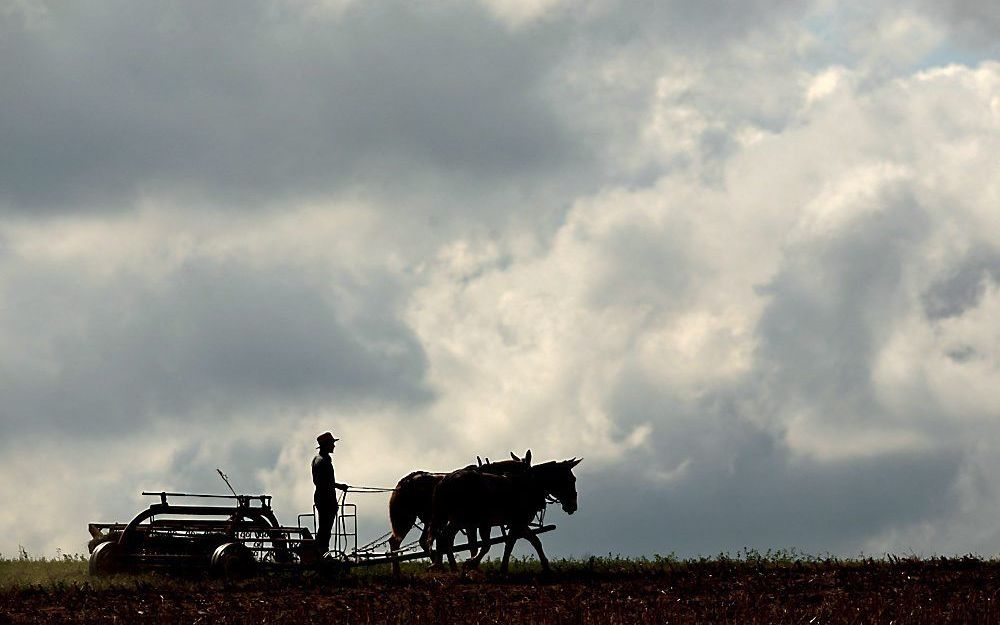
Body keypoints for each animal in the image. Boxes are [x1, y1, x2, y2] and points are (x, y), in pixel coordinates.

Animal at [388, 448, 536, 576]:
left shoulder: (470, 523)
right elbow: (472, 545)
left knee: (423, 541)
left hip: (429, 519)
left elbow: (470, 544)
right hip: (409, 518)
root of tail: (406, 481)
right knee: (401, 542)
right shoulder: (472, 523)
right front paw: (472, 566)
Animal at [428, 456, 584, 572]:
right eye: (572, 479)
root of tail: (446, 479)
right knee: (444, 538)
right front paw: (475, 563)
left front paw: (546, 568)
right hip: (459, 518)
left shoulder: (517, 523)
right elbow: (505, 544)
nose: (573, 506)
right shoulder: (517, 522)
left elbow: (531, 542)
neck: (528, 486)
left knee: (444, 538)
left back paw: (443, 565)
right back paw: (442, 566)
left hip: (454, 519)